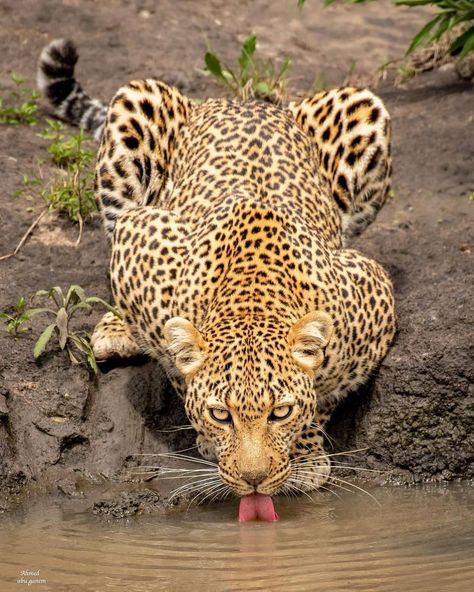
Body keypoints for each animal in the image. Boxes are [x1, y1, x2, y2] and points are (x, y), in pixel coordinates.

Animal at [38, 38, 396, 500]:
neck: (253, 293)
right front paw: (210, 440)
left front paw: (305, 452)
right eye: (221, 414)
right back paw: (116, 330)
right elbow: (177, 365)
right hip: (135, 108)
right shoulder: (139, 239)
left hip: (361, 108)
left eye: (280, 412)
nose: (254, 479)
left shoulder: (372, 290)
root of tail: (236, 100)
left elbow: (325, 393)